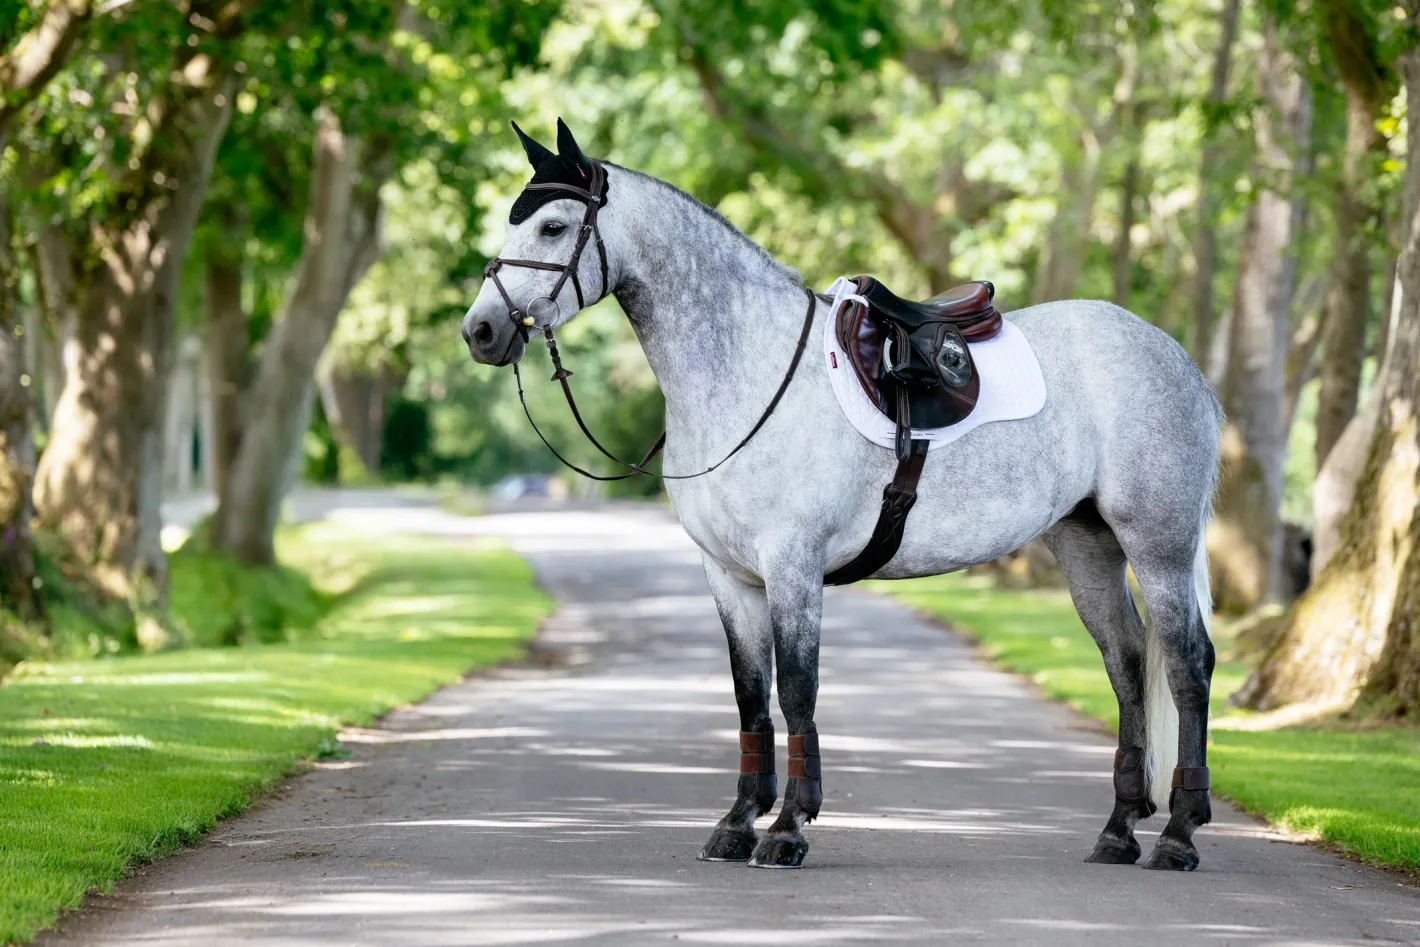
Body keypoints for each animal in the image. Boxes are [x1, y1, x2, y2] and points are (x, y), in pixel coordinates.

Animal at [462, 119, 1221, 872]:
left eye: (555, 226)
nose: (481, 331)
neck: (749, 367)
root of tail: (1177, 359)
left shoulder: (793, 566)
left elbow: (797, 690)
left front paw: (788, 828)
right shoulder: (729, 575)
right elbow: (750, 696)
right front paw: (737, 823)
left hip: (1158, 544)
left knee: (1188, 664)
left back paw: (1179, 835)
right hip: (1088, 544)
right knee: (1128, 663)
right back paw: (1118, 830)